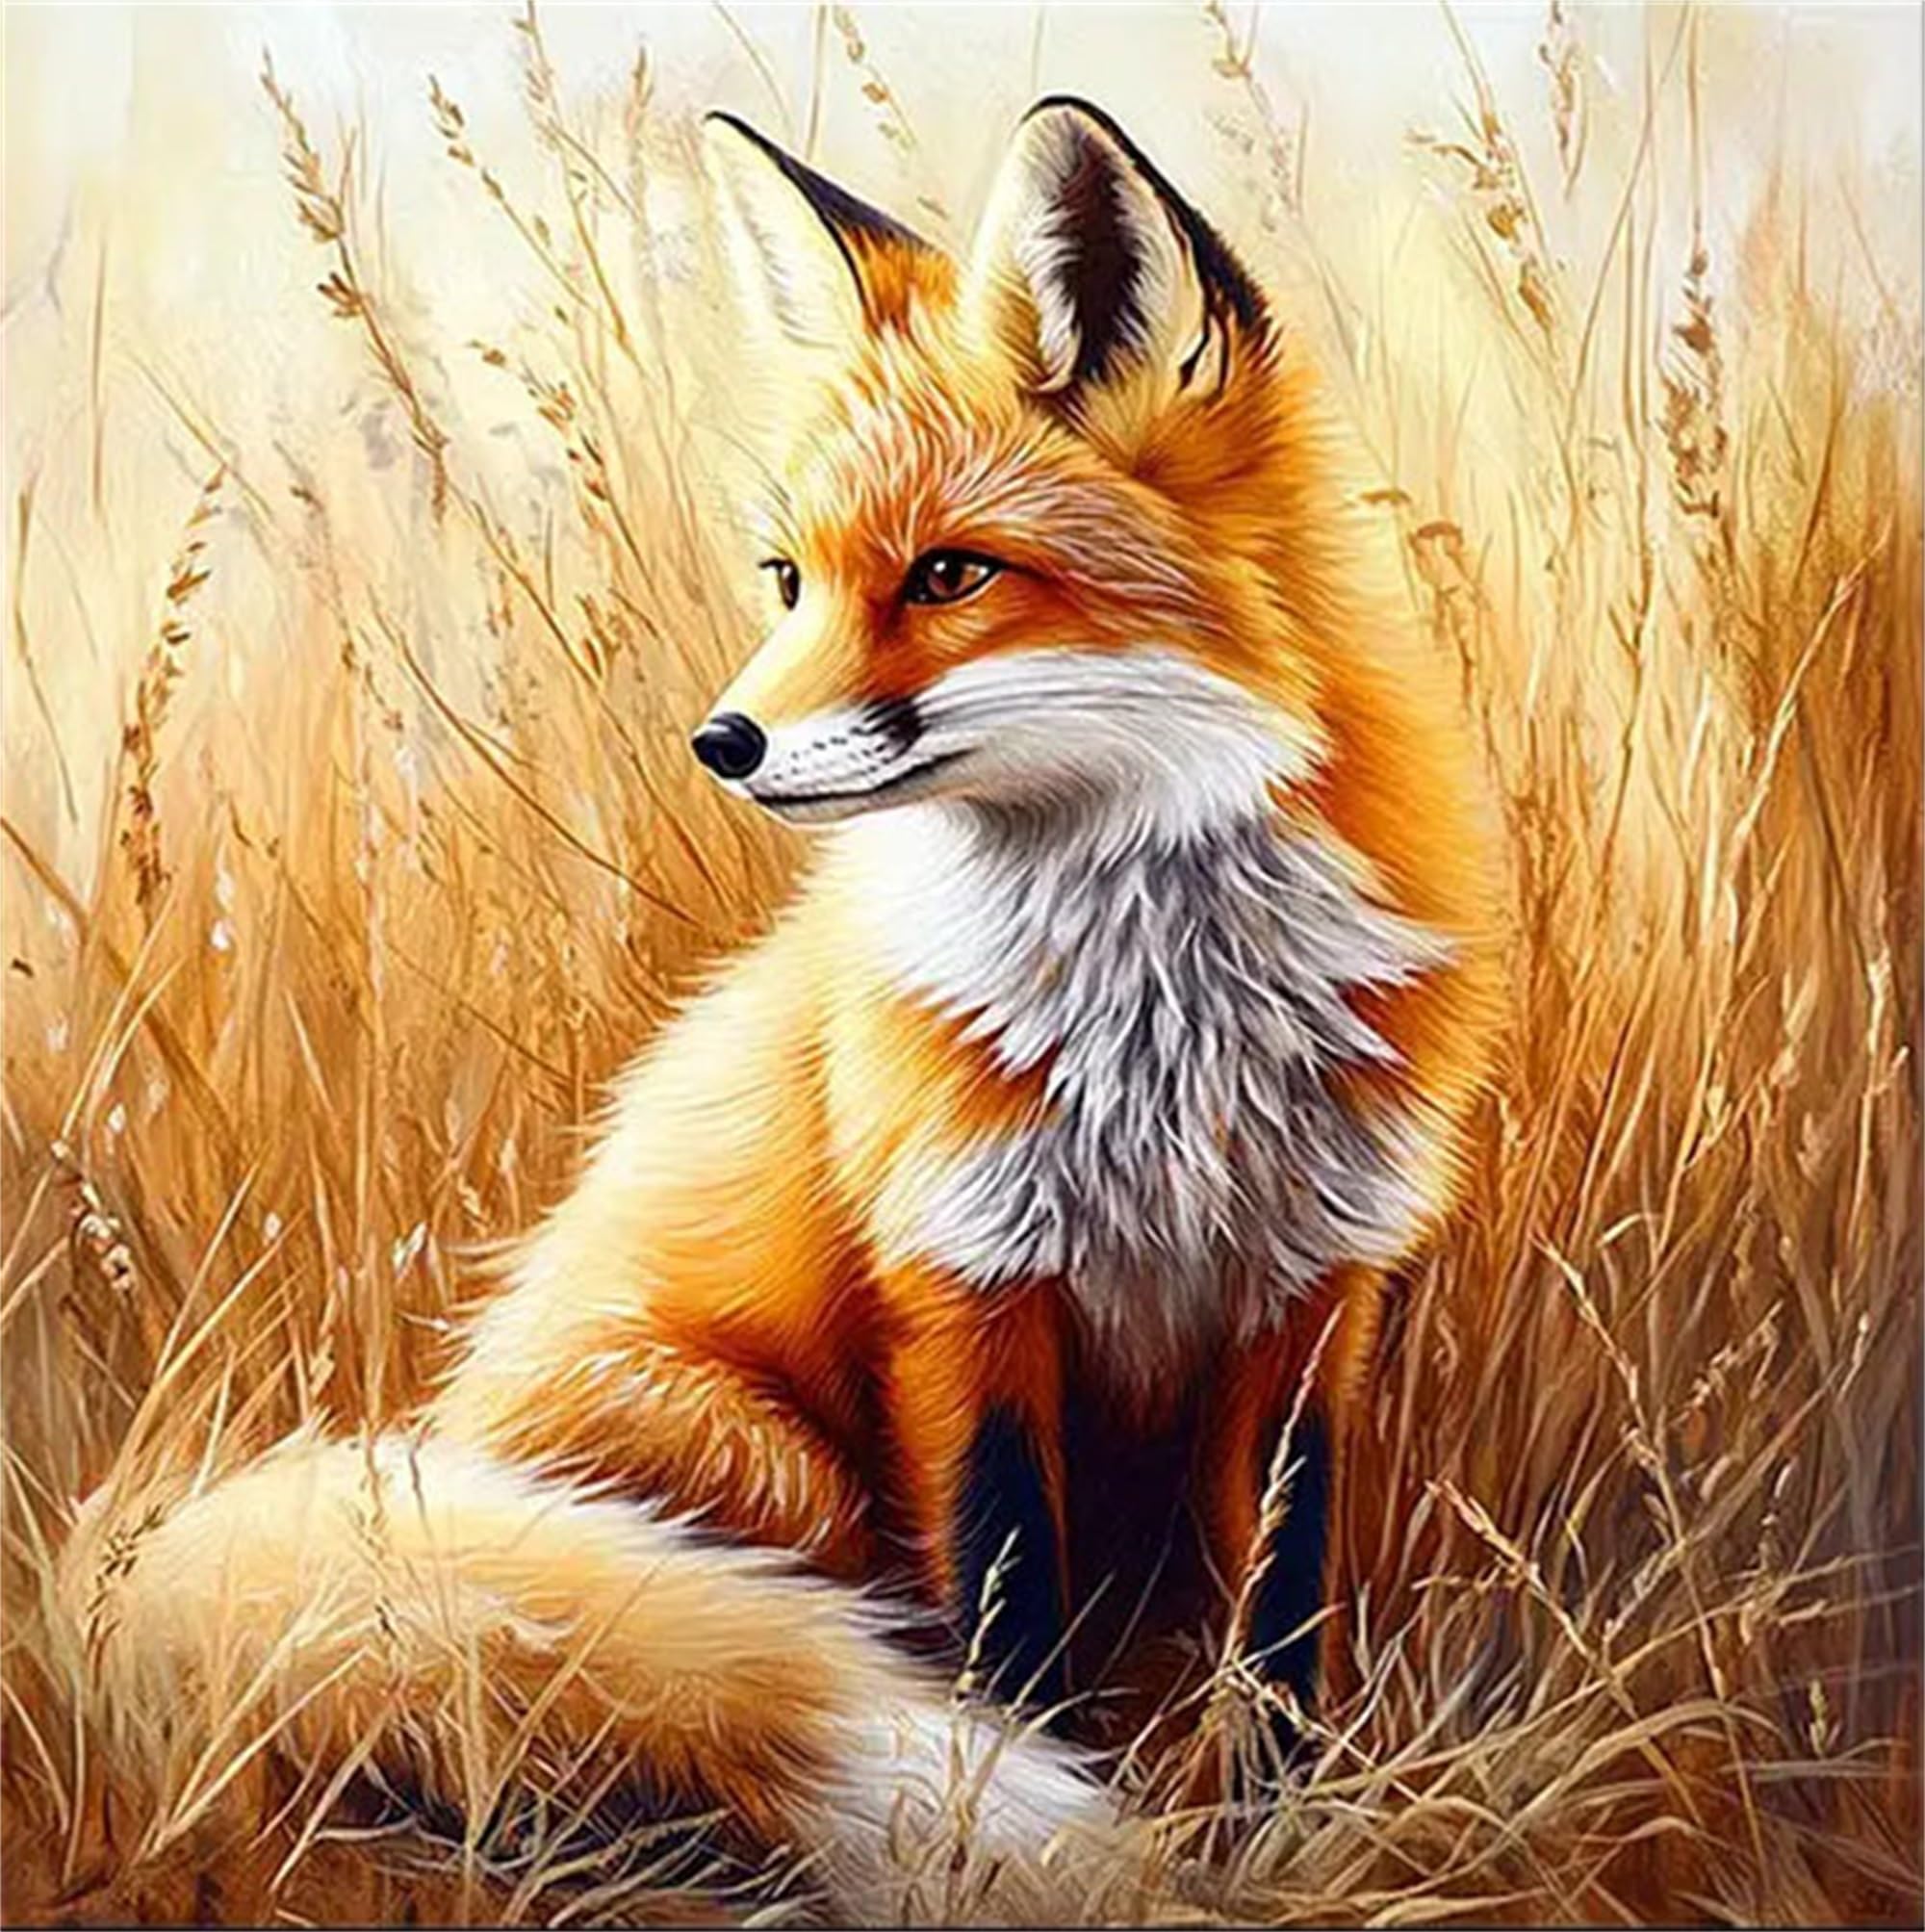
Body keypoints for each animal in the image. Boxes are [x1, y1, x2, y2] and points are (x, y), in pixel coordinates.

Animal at [57, 99, 1499, 1921]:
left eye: (951, 574)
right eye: (788, 576)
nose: (721, 742)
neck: (1163, 1021)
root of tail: (442, 1440)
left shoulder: (1315, 1287)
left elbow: (1280, 1621)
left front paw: (1279, 1828)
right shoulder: (961, 1279)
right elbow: (1005, 1618)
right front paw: (1020, 1836)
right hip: (760, 1460)